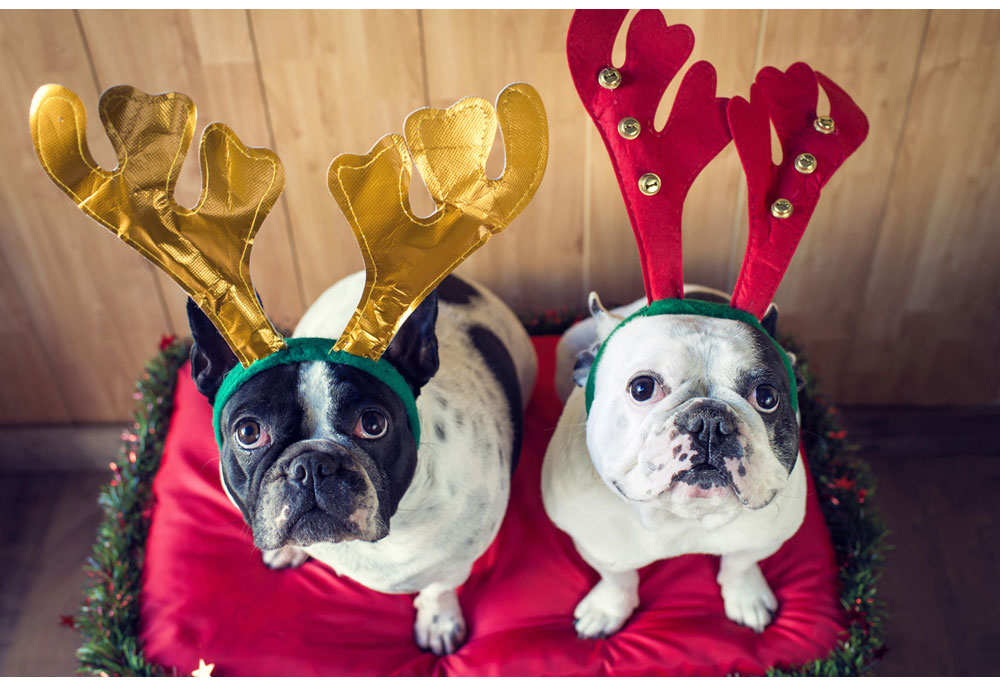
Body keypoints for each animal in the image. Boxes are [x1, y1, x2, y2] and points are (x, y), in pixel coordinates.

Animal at [184, 272, 536, 656]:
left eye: (372, 424)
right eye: (248, 432)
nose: (312, 464)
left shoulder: (456, 560)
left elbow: (438, 588)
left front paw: (438, 623)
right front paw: (288, 549)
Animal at [540, 288, 804, 636]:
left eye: (767, 397)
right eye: (642, 388)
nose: (710, 421)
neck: (684, 518)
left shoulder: (764, 538)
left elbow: (741, 564)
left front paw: (747, 597)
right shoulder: (599, 544)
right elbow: (617, 577)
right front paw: (607, 609)